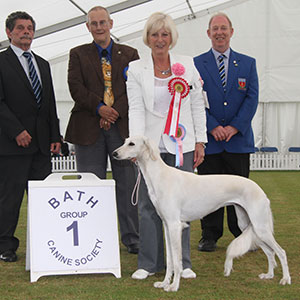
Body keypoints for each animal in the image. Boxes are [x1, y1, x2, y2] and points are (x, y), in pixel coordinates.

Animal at [112, 137, 290, 292]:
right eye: (125, 141)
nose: (114, 154)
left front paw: (174, 286)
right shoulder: (167, 226)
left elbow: (177, 261)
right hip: (249, 226)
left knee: (280, 252)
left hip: (260, 226)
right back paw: (269, 275)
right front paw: (164, 283)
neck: (160, 176)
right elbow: (170, 260)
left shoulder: (175, 226)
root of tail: (260, 190)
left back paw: (285, 279)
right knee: (270, 252)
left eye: (131, 144)